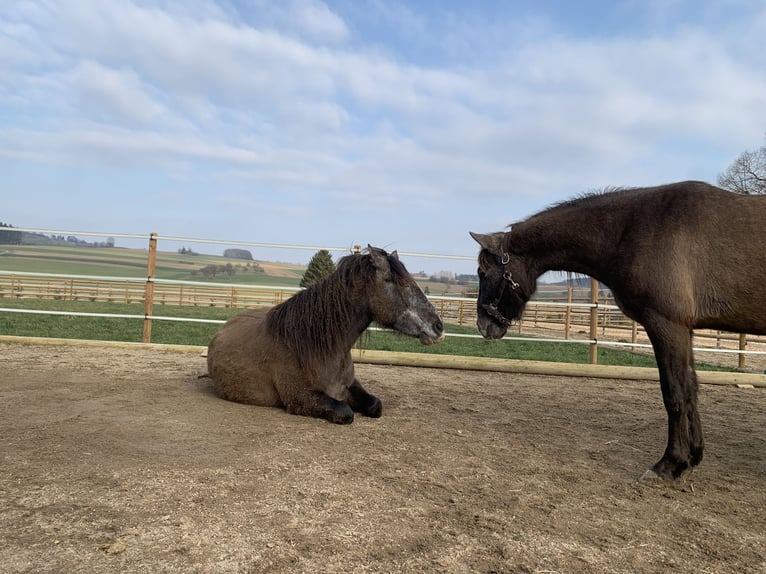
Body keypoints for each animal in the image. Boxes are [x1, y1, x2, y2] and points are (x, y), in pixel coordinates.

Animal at [207, 245, 448, 426]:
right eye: (393, 280)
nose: (438, 326)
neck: (315, 345)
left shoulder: (351, 385)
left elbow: (375, 404)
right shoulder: (302, 397)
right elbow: (345, 412)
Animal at [472, 181, 766, 482]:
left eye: (483, 272)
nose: (483, 325)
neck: (635, 229)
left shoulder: (667, 326)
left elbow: (674, 394)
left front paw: (670, 463)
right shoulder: (686, 331)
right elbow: (691, 391)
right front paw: (692, 456)